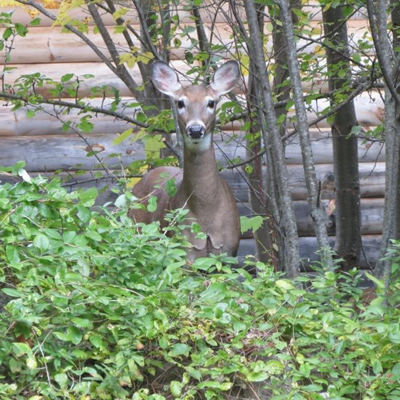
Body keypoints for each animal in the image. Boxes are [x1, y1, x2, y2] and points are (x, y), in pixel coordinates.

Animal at [129, 60, 241, 262]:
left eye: (211, 102)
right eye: (180, 102)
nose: (195, 129)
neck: (207, 213)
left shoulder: (228, 251)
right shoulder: (184, 250)